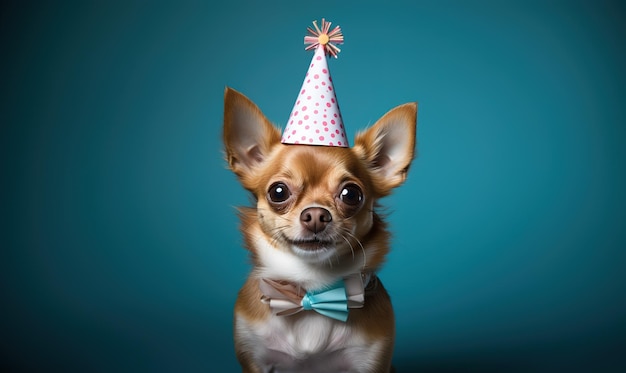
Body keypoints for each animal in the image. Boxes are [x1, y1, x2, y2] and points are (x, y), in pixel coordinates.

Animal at [223, 87, 414, 372]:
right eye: (278, 192)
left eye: (351, 194)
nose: (315, 215)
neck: (312, 289)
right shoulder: (255, 360)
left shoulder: (371, 361)